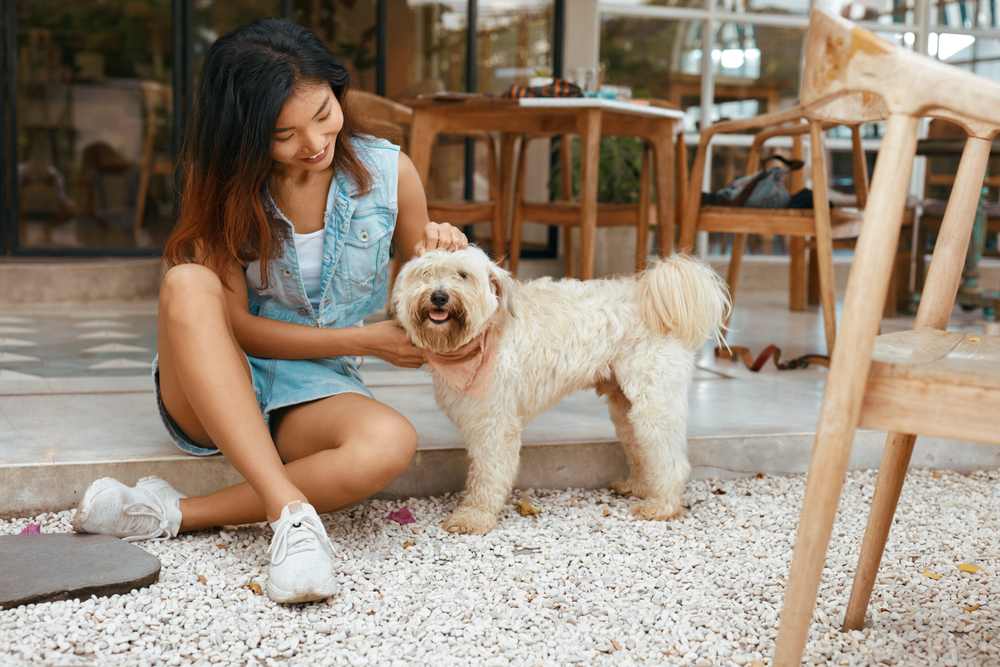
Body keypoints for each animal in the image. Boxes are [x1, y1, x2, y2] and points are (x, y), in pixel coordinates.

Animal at [388, 248, 728, 536]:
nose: (439, 296)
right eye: (425, 274)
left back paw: (662, 505)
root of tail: (651, 297)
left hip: (653, 401)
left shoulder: (495, 423)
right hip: (626, 406)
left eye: (463, 275)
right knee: (642, 447)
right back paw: (640, 486)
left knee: (670, 458)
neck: (486, 333)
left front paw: (475, 516)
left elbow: (489, 472)